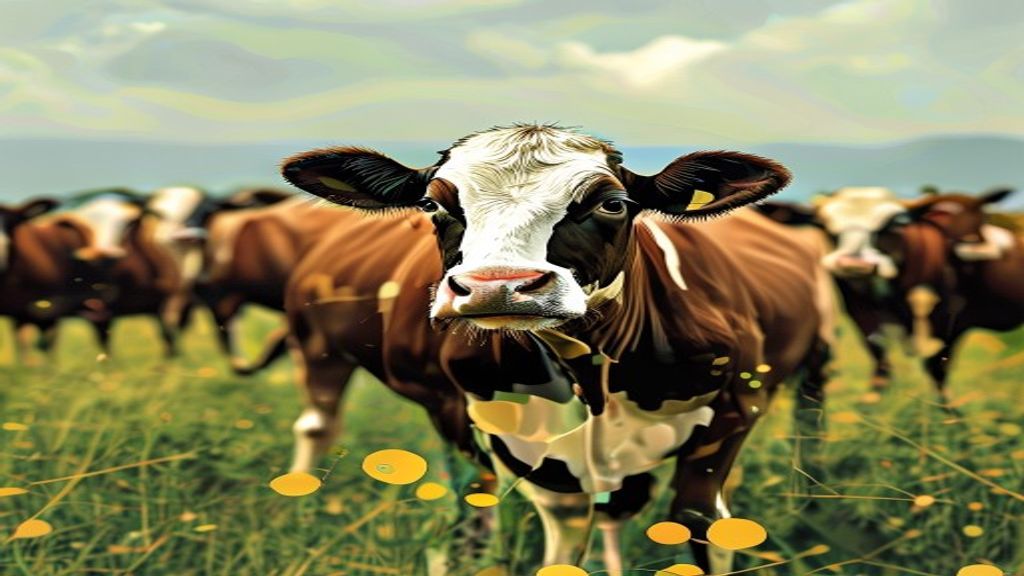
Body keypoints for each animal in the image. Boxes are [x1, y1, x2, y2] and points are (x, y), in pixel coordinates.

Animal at [279, 125, 833, 574]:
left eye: (612, 203)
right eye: (433, 205)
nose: (496, 286)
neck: (592, 373)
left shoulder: (735, 408)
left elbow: (701, 521)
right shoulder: (515, 434)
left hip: (817, 354)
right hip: (320, 348)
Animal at [758, 187, 1021, 404]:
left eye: (894, 223)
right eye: (823, 224)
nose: (854, 263)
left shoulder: (951, 315)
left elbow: (936, 367)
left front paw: (951, 416)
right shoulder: (860, 310)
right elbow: (879, 357)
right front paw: (871, 402)